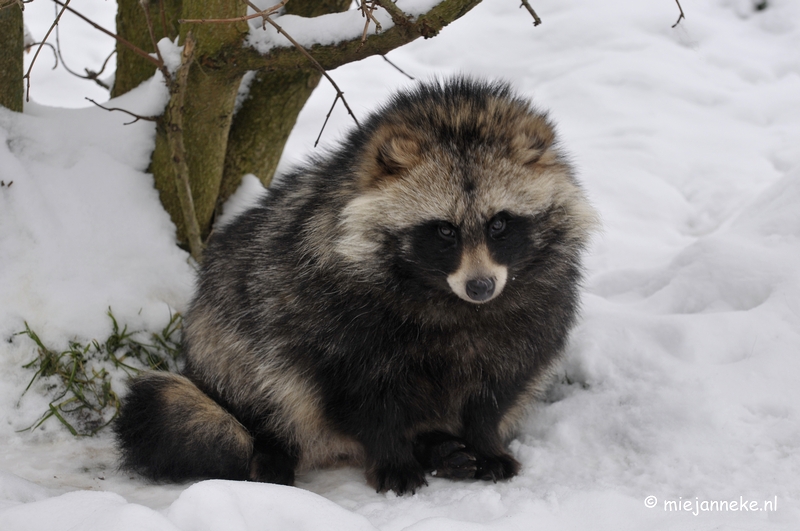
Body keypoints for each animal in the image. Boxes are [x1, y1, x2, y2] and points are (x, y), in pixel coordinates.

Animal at [115, 77, 596, 496]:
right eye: (444, 230)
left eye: (500, 223)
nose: (480, 286)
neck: (447, 299)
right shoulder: (332, 313)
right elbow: (364, 397)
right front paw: (393, 457)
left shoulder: (535, 306)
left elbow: (499, 383)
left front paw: (485, 441)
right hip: (224, 333)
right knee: (241, 393)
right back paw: (271, 451)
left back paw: (437, 445)